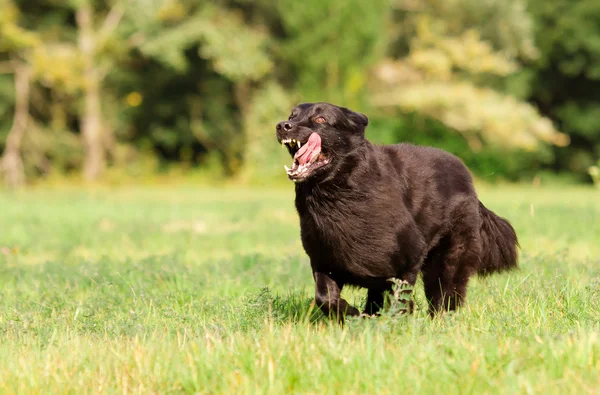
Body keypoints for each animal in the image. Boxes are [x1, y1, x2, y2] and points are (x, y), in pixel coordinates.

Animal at [276, 102, 516, 318]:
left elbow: (400, 300)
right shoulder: (323, 260)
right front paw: (353, 315)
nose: (282, 125)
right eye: (292, 115)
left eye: (320, 119)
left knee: (444, 295)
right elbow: (325, 298)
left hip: (448, 257)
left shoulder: (409, 259)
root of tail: (470, 183)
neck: (338, 193)